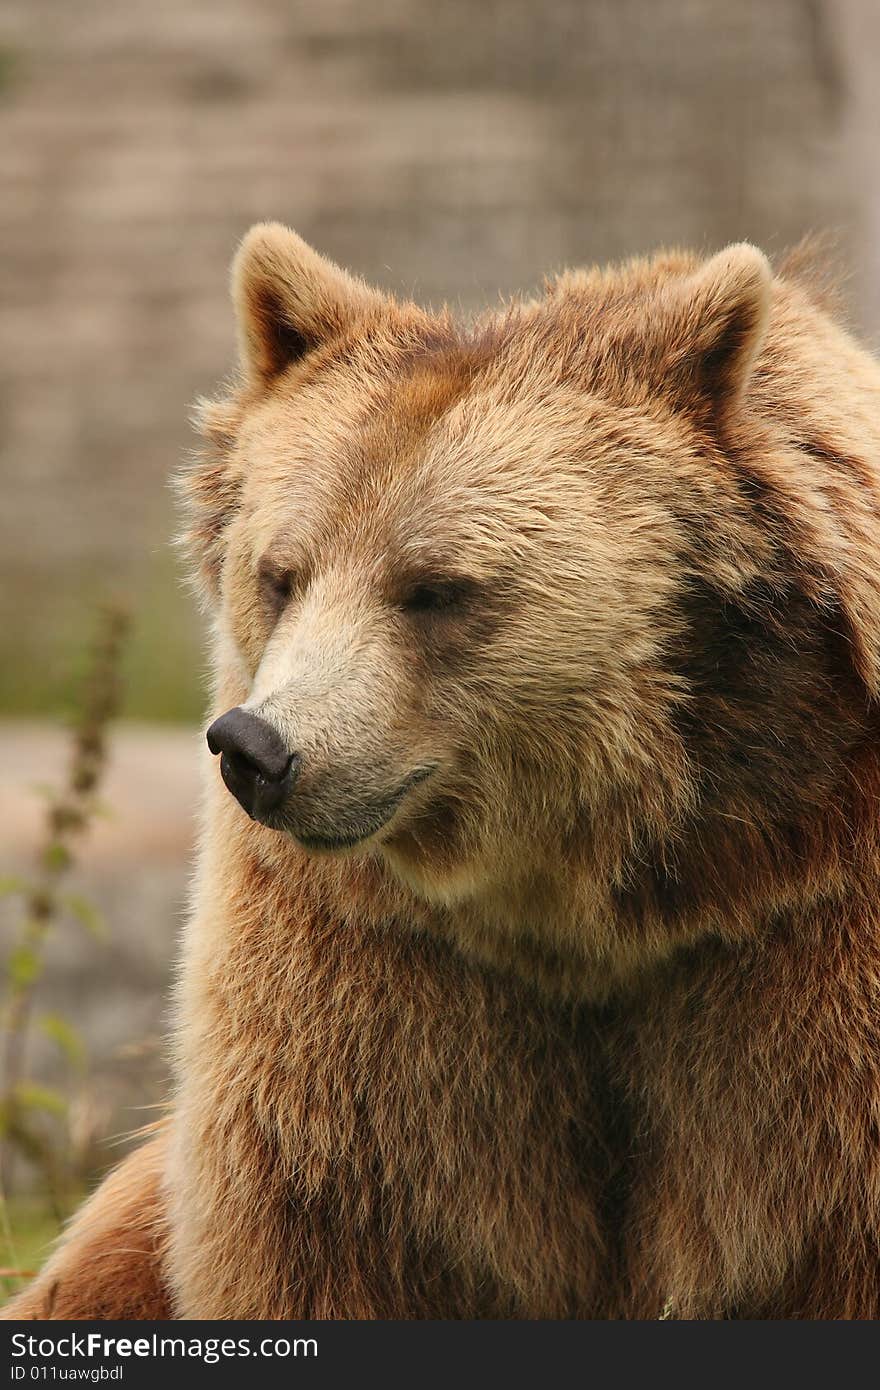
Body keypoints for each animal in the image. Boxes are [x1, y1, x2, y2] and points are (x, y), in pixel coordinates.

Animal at [6, 225, 878, 1312]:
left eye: (433, 588)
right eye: (281, 574)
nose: (257, 749)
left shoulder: (805, 952)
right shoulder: (374, 968)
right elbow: (322, 1214)